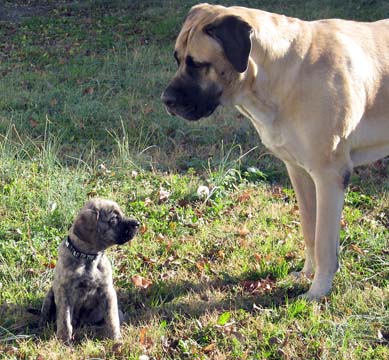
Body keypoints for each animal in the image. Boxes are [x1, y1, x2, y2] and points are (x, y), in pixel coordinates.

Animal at [40, 198, 139, 342]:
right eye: (113, 219)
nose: (138, 224)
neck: (87, 258)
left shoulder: (107, 291)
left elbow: (112, 318)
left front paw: (115, 339)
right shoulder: (64, 292)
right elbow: (64, 319)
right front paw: (64, 340)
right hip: (50, 295)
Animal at [162, 4, 388, 300]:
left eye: (198, 64)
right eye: (177, 59)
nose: (166, 100)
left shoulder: (329, 175)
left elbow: (324, 242)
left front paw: (318, 290)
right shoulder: (299, 172)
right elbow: (309, 229)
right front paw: (306, 274)